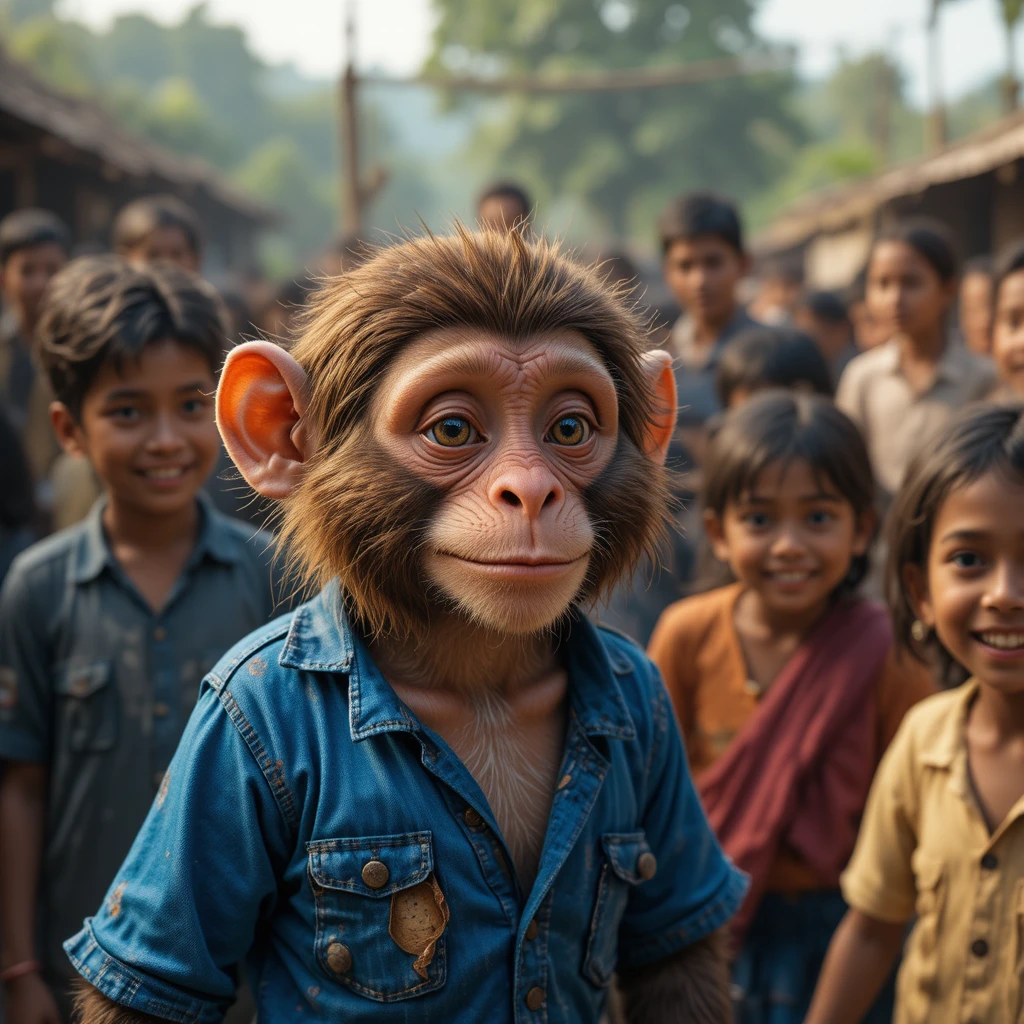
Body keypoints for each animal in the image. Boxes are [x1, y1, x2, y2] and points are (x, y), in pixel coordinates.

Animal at [69, 226, 745, 1023]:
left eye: (570, 427)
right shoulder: (228, 733)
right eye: (452, 428)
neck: (477, 675)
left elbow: (676, 951)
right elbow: (157, 983)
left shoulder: (643, 693)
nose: (532, 492)